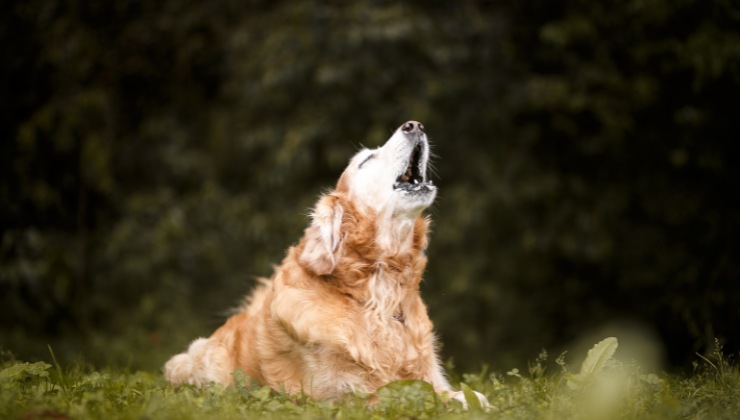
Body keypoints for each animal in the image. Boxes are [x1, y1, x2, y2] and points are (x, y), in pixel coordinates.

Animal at [166, 120, 492, 408]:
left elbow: (467, 394)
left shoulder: (429, 375)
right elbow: (407, 396)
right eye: (366, 160)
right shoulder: (341, 395)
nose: (415, 125)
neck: (378, 293)